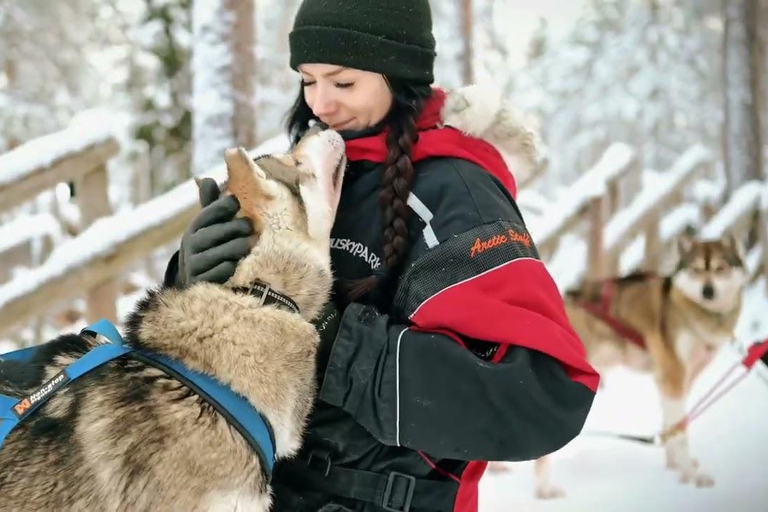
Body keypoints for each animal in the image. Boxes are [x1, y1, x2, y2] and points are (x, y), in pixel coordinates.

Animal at [528, 232, 744, 496]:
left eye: (721, 268)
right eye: (695, 270)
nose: (708, 291)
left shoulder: (678, 381)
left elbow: (672, 426)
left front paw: (676, 467)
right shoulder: (673, 375)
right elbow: (680, 432)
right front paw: (693, 475)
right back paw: (545, 490)